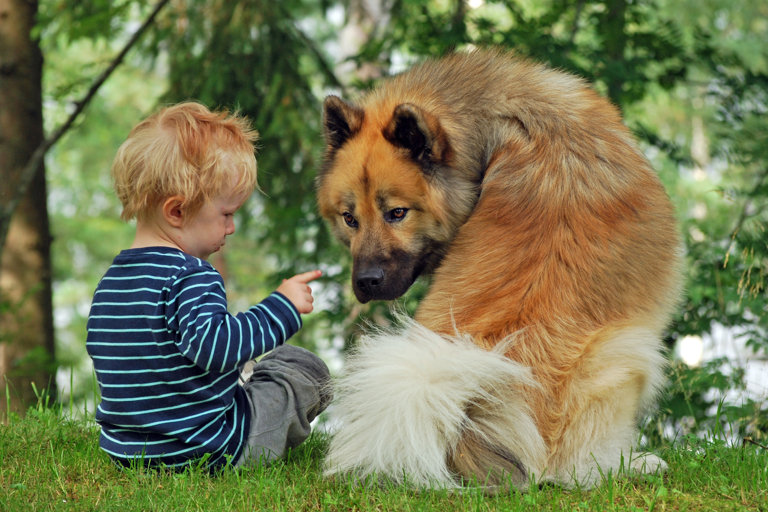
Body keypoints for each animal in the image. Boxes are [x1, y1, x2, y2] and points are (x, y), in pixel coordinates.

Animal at [316, 49, 680, 492]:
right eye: (350, 219)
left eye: (397, 214)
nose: (366, 282)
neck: (505, 120)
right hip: (628, 351)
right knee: (574, 467)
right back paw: (637, 464)